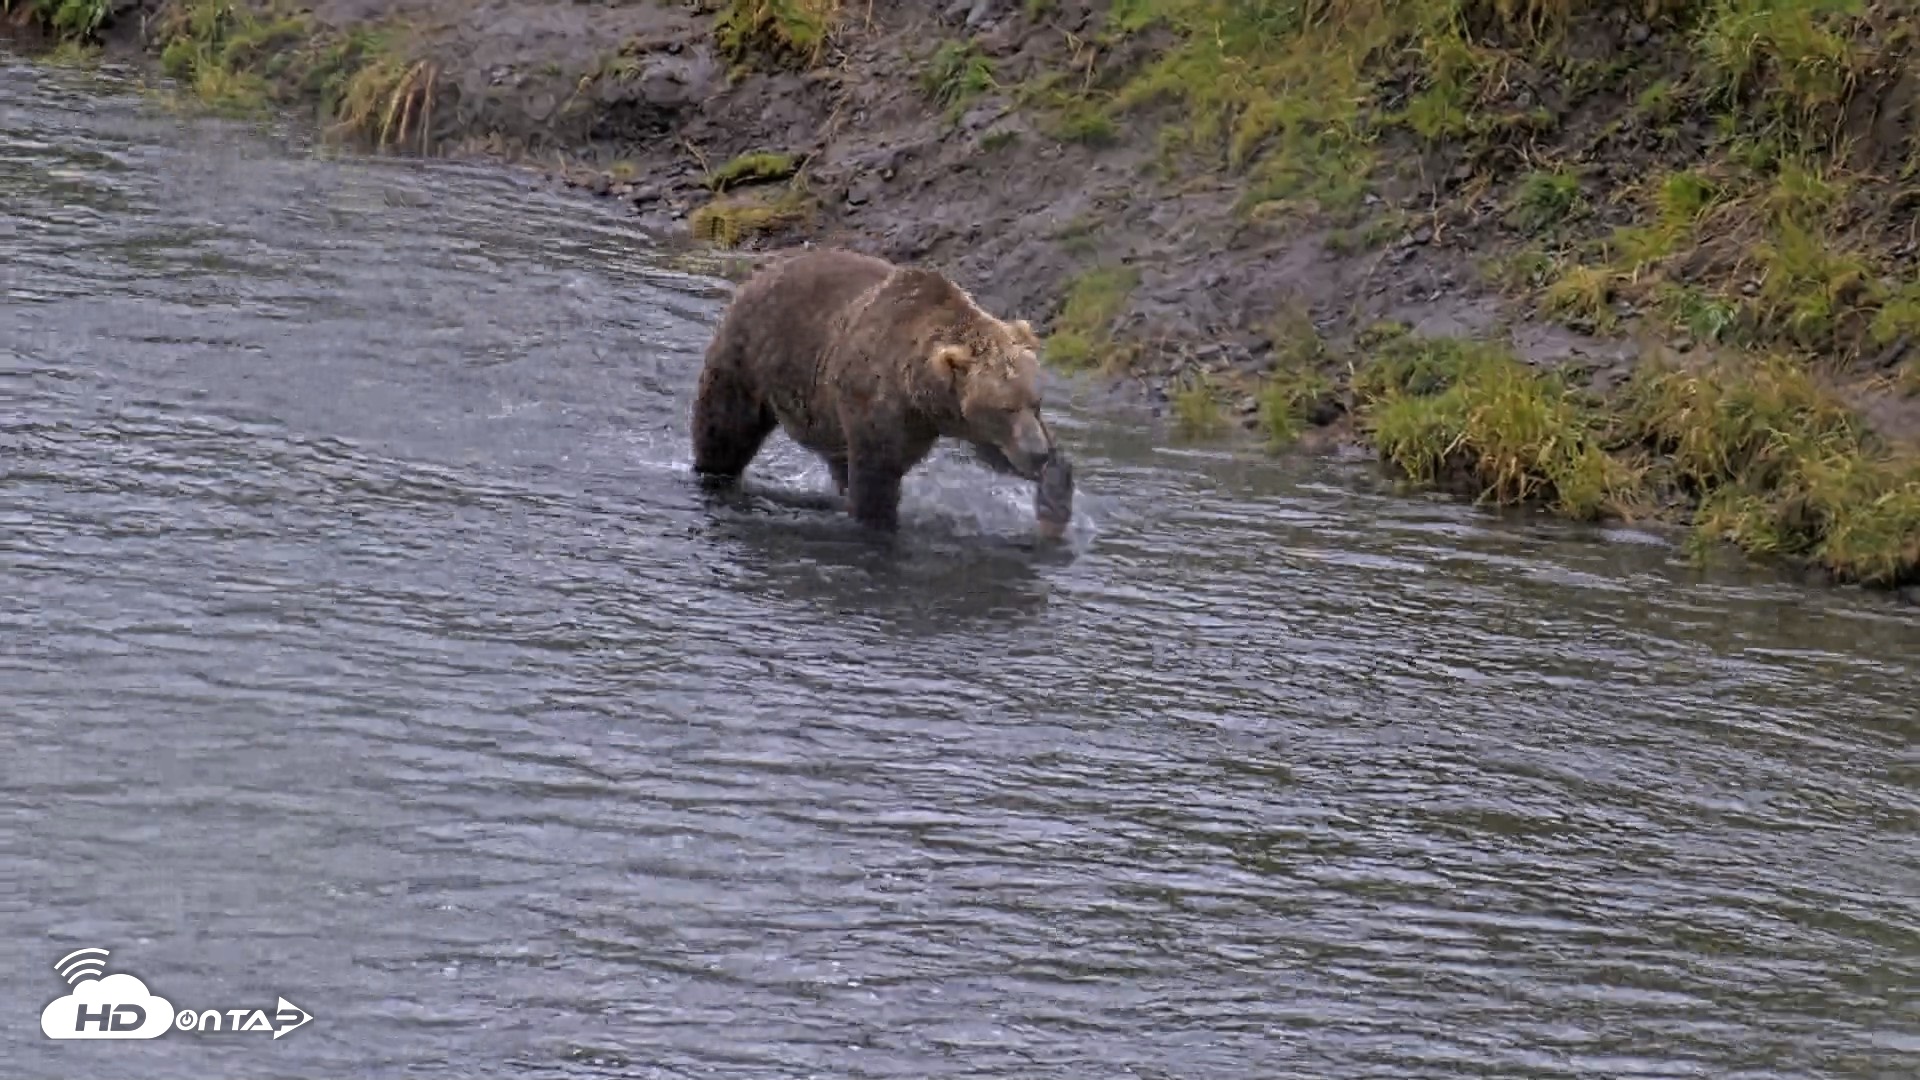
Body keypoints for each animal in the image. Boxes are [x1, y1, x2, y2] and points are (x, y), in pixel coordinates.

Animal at [689, 247, 1073, 537]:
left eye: (1036, 403)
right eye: (1005, 407)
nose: (1038, 452)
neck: (922, 396)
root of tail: (759, 273)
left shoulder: (963, 418)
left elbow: (999, 453)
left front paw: (1054, 506)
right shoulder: (874, 401)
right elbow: (876, 477)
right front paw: (880, 525)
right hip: (748, 359)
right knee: (725, 430)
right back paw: (714, 476)